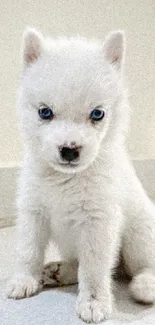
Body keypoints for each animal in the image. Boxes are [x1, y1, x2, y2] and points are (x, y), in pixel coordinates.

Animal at [7, 29, 155, 322]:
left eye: (97, 114)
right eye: (45, 112)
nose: (69, 150)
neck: (65, 180)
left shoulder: (98, 222)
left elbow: (94, 268)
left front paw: (94, 302)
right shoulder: (33, 212)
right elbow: (28, 250)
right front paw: (24, 280)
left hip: (138, 235)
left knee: (141, 266)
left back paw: (145, 285)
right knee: (78, 263)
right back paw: (58, 271)